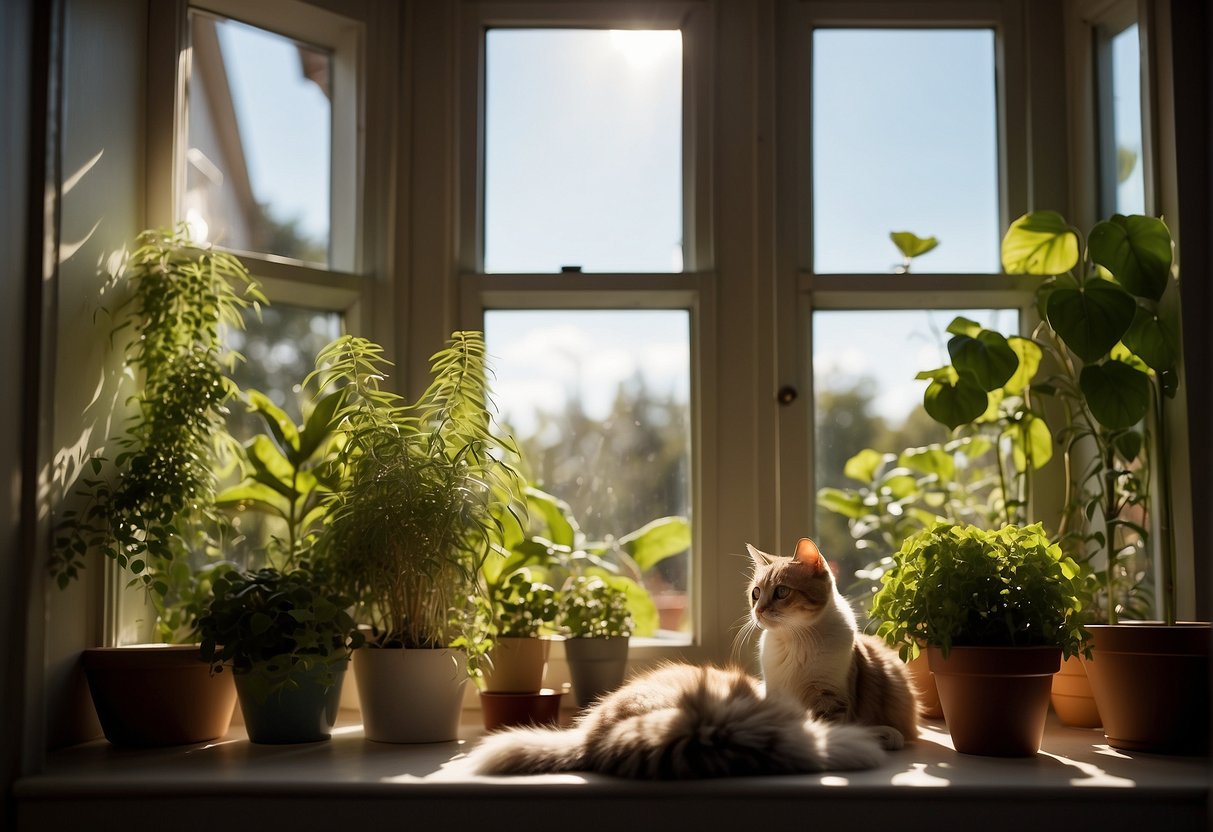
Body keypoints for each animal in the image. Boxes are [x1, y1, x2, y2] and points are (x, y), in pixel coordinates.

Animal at [747, 538, 917, 751]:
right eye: (756, 593)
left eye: (782, 591)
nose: (758, 610)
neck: (796, 641)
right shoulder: (776, 692)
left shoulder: (830, 697)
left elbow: (826, 728)